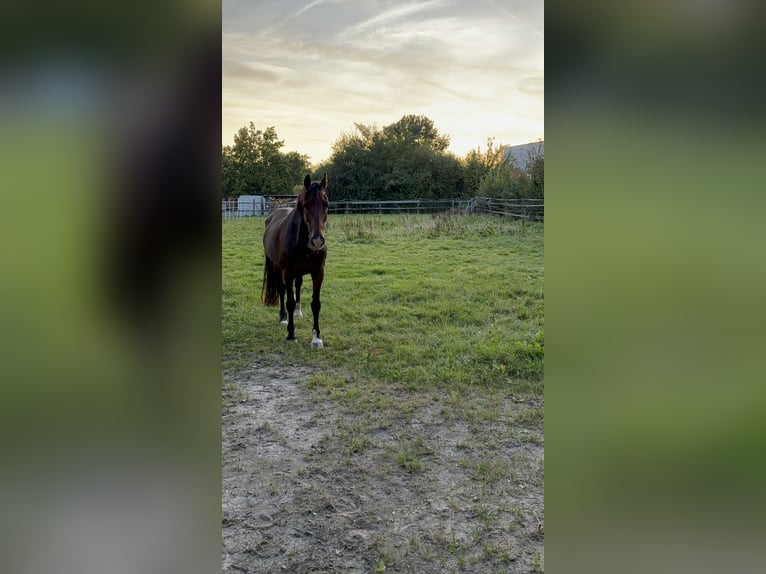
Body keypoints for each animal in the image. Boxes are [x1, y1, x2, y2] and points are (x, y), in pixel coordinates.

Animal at [261, 174, 329, 348]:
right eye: (306, 205)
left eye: (326, 204)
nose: (317, 241)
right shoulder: (288, 273)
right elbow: (289, 301)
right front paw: (291, 334)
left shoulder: (318, 272)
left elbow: (316, 304)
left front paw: (316, 337)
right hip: (277, 268)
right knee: (282, 290)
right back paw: (283, 318)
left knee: (298, 286)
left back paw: (298, 312)